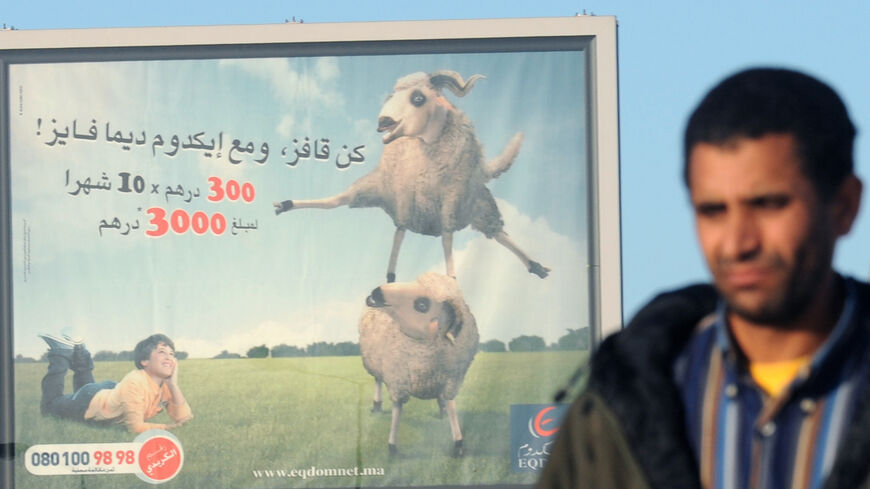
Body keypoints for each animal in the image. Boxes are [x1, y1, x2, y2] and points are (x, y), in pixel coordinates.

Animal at [276, 69, 548, 282]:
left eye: (418, 98)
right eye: (391, 97)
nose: (384, 122)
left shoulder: (450, 198)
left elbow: (446, 236)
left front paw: (451, 277)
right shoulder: (406, 193)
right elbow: (403, 230)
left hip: (478, 203)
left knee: (498, 232)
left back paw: (536, 266)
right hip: (380, 188)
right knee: (341, 202)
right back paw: (285, 205)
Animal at [362, 272, 484, 456]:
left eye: (422, 305)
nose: (376, 293)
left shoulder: (451, 380)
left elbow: (451, 405)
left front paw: (458, 443)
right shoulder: (398, 381)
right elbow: (397, 409)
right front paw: (392, 447)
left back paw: (441, 409)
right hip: (375, 363)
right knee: (377, 380)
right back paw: (377, 405)